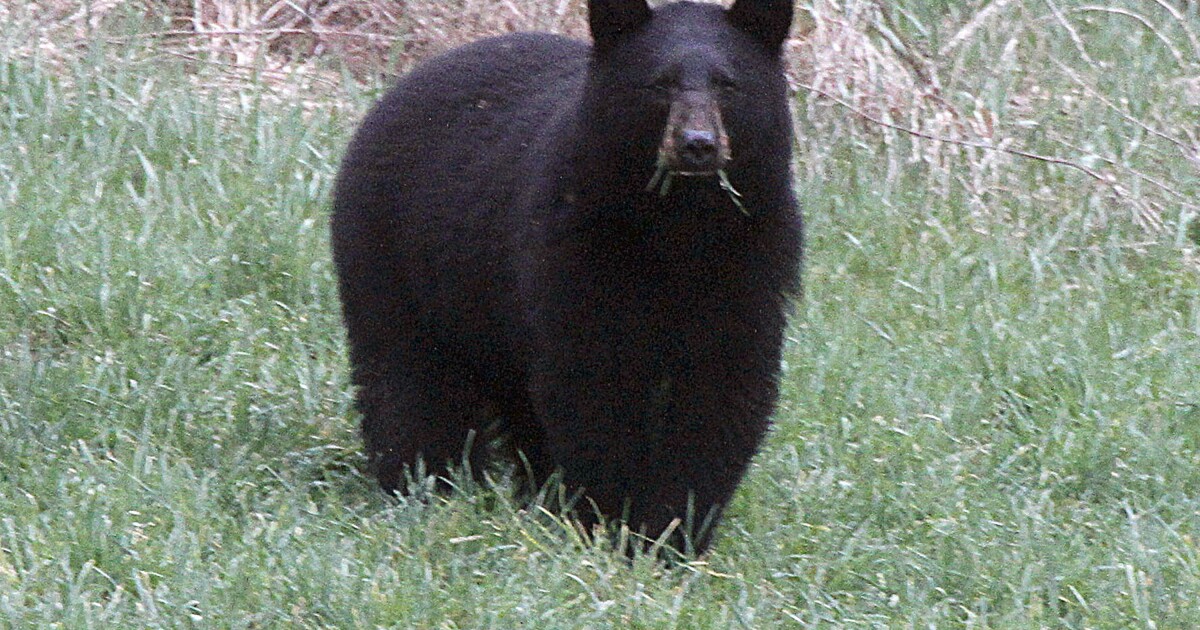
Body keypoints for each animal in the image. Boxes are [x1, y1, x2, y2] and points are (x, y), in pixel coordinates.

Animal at [330, 0, 801, 556]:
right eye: (658, 84)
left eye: (729, 84)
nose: (697, 145)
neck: (678, 226)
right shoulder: (576, 246)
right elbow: (591, 382)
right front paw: (608, 521)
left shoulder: (751, 259)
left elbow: (722, 388)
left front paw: (672, 534)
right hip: (397, 254)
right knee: (408, 377)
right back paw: (424, 483)